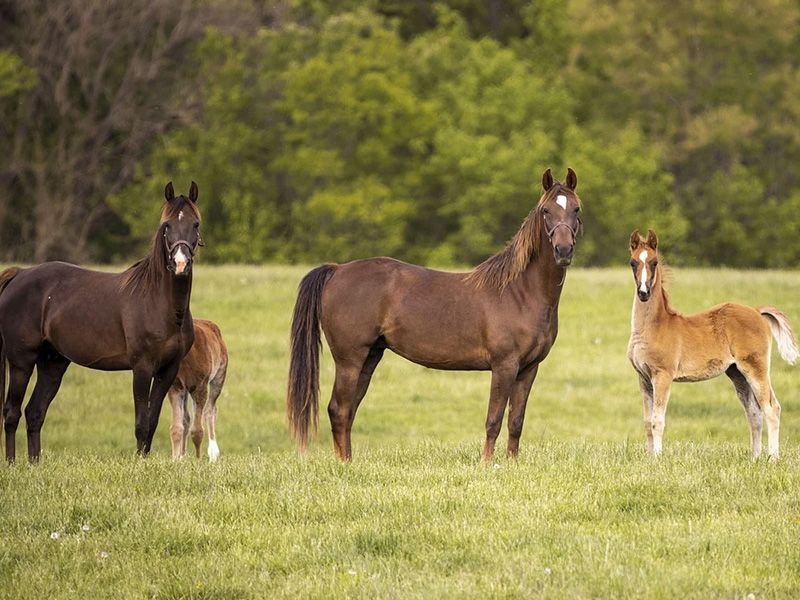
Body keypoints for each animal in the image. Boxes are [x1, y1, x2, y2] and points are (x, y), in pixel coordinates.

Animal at [0, 183, 202, 464]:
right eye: (167, 226)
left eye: (195, 224)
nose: (181, 263)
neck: (159, 303)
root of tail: (19, 274)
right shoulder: (142, 367)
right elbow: (141, 423)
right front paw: (139, 464)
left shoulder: (168, 370)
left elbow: (151, 422)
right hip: (21, 361)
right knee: (12, 412)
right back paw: (11, 464)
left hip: (52, 363)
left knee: (34, 412)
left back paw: (34, 464)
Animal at [167, 322, 227, 462]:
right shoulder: (175, 387)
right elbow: (176, 427)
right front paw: (175, 460)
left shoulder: (200, 386)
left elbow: (197, 430)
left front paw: (198, 461)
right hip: (185, 390)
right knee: (186, 418)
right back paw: (182, 455)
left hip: (219, 376)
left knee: (210, 409)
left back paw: (213, 455)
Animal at [288, 166, 580, 462]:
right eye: (545, 210)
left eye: (576, 209)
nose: (563, 250)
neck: (518, 292)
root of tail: (337, 270)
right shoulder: (504, 366)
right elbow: (494, 420)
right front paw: (486, 464)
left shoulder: (529, 368)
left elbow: (515, 421)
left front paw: (511, 463)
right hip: (349, 359)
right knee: (339, 409)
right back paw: (345, 465)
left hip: (369, 357)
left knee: (348, 411)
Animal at [628, 227, 796, 458]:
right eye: (632, 263)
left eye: (654, 262)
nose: (643, 293)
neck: (654, 327)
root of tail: (756, 311)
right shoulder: (643, 378)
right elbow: (646, 422)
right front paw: (649, 457)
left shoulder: (663, 375)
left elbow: (657, 420)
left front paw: (658, 458)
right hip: (737, 373)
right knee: (754, 413)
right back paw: (755, 458)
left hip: (756, 368)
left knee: (771, 408)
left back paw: (772, 458)